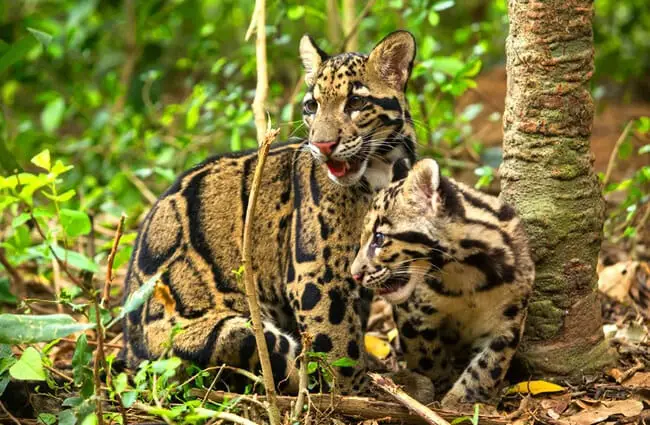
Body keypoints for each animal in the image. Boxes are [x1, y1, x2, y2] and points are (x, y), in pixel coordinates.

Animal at [121, 31, 418, 394]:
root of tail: (132, 352)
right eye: (312, 107)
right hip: (230, 333)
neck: (381, 170)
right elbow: (337, 345)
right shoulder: (316, 275)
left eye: (356, 104)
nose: (322, 145)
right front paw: (355, 393)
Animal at [351, 158, 535, 406]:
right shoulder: (413, 316)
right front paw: (441, 384)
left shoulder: (509, 320)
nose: (354, 274)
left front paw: (464, 401)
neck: (465, 274)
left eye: (379, 238)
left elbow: (489, 364)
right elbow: (427, 354)